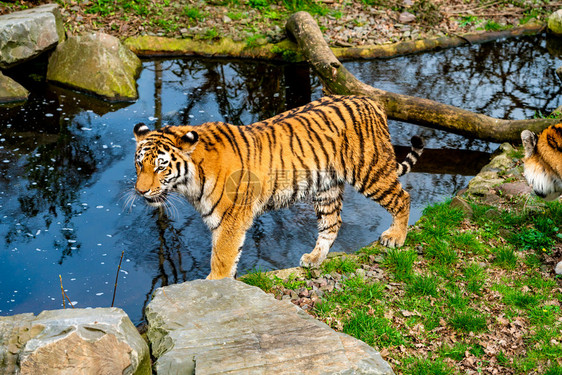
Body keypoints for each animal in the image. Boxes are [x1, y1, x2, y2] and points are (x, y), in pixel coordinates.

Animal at [132, 95, 420, 280]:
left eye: (160, 167)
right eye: (139, 164)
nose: (141, 191)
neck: (191, 183)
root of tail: (371, 101)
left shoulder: (229, 223)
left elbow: (221, 260)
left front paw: (213, 289)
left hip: (370, 171)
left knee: (403, 197)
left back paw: (396, 237)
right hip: (327, 188)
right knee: (332, 223)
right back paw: (314, 258)